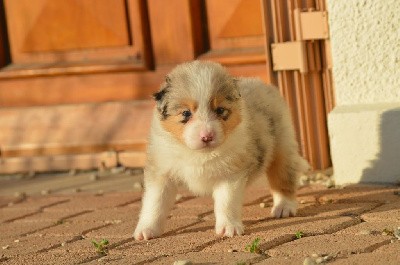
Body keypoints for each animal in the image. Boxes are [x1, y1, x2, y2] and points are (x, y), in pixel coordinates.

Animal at [134, 59, 310, 239]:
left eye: (220, 110)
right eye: (186, 113)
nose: (207, 136)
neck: (198, 154)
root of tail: (262, 84)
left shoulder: (230, 173)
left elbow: (226, 202)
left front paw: (228, 227)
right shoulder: (162, 170)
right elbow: (156, 202)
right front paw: (147, 230)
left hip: (283, 148)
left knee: (283, 179)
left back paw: (284, 207)